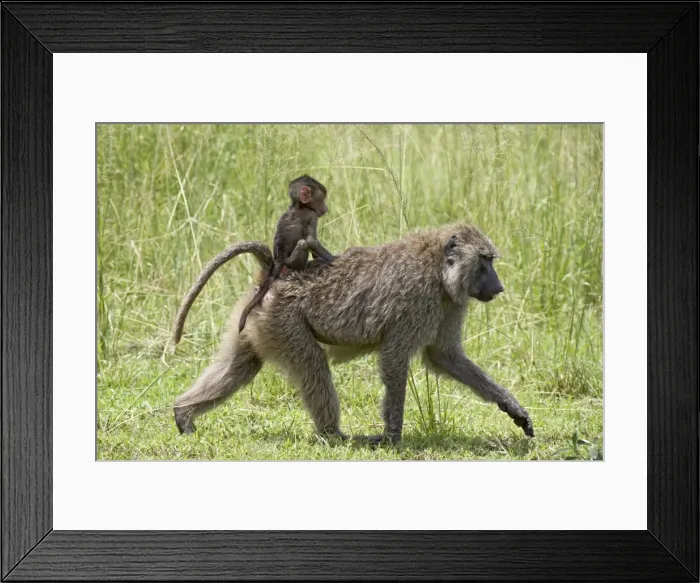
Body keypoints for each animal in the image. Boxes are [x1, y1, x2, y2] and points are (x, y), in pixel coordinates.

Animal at [172, 223, 535, 445]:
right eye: (485, 261)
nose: (499, 287)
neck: (436, 265)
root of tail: (274, 273)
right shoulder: (418, 301)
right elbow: (394, 359)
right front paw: (392, 436)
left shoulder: (449, 304)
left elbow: (445, 356)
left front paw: (512, 408)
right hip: (283, 320)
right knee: (313, 365)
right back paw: (333, 435)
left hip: (257, 320)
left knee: (239, 367)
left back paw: (183, 413)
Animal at [237, 175, 335, 333]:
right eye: (321, 200)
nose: (325, 209)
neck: (298, 206)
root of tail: (279, 261)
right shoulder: (312, 215)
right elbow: (310, 240)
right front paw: (334, 258)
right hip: (292, 261)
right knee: (303, 243)